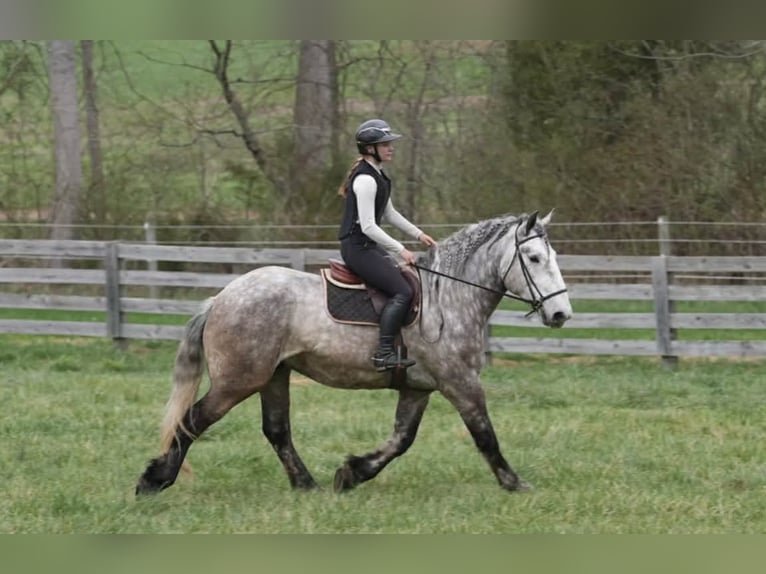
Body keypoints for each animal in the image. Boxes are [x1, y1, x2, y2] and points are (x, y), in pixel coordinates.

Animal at [135, 210, 572, 495]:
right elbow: (485, 435)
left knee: (277, 431)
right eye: (534, 258)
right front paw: (514, 483)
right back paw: (154, 480)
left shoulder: (418, 388)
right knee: (193, 421)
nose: (561, 314)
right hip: (238, 381)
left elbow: (402, 439)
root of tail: (222, 297)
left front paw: (352, 473)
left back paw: (306, 485)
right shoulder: (460, 383)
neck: (448, 297)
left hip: (273, 376)